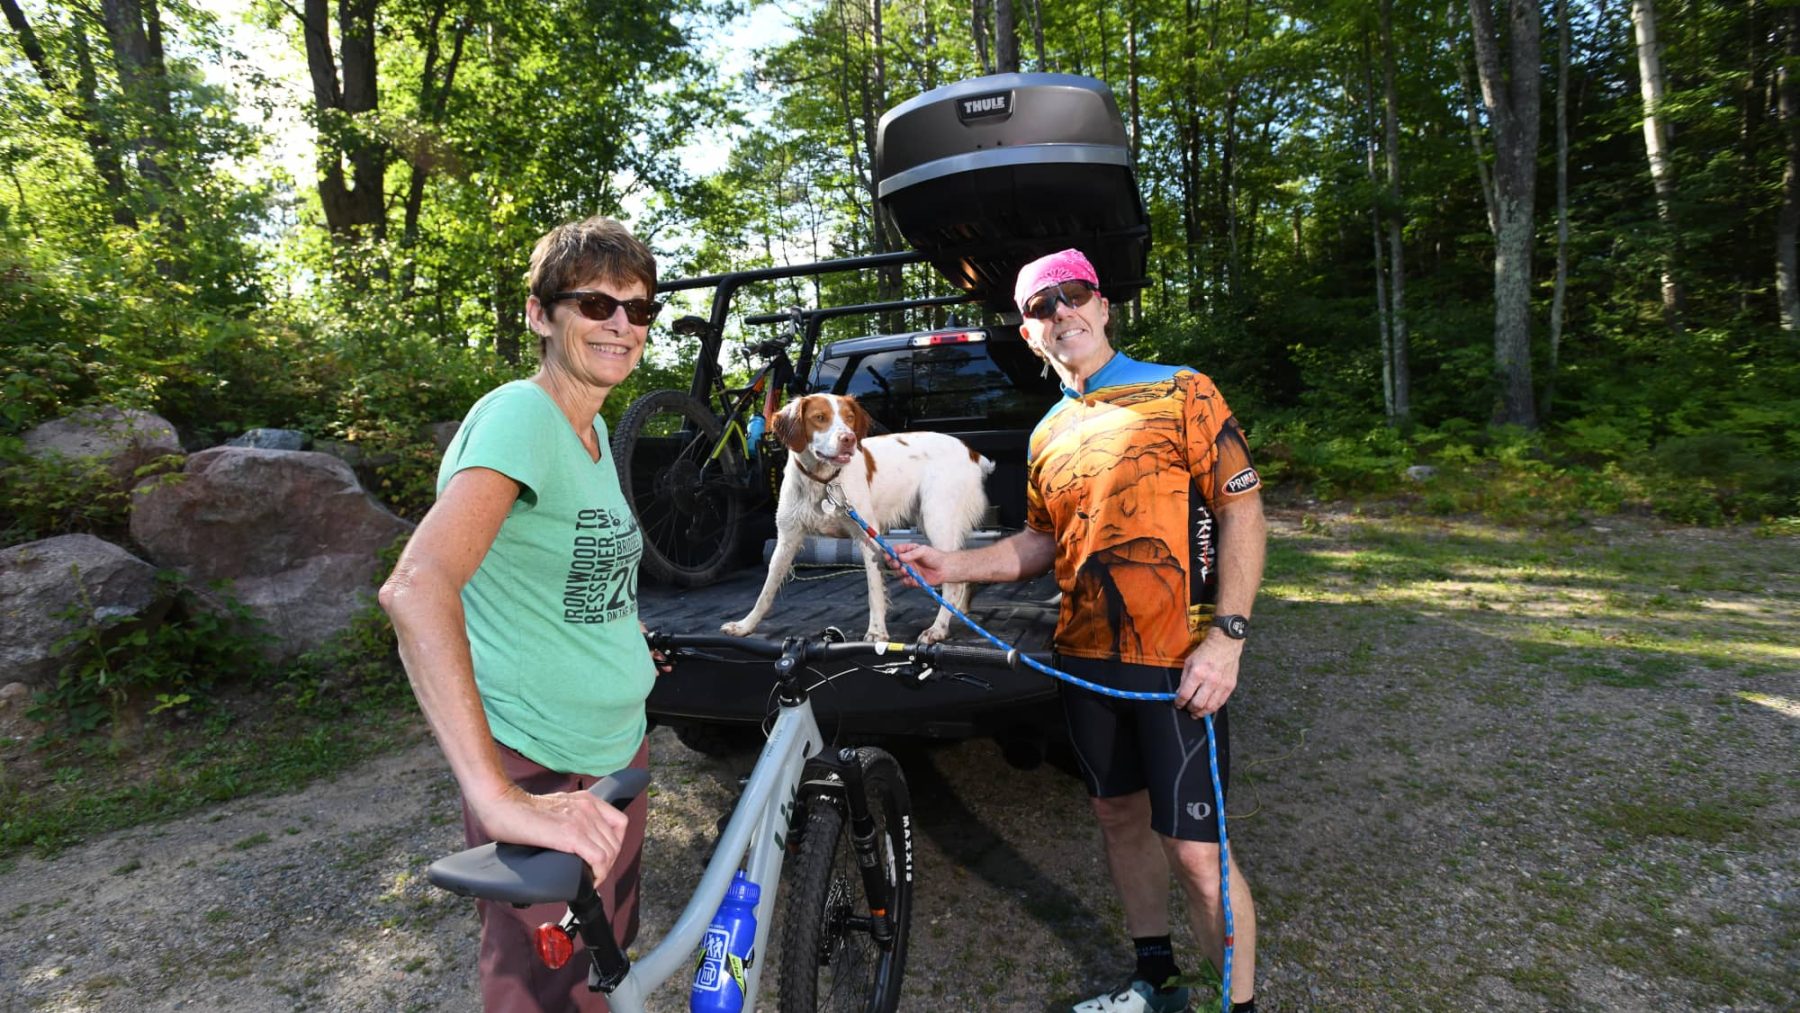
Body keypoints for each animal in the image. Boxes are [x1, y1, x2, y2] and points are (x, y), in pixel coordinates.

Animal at [720, 394, 1000, 640]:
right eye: (819, 417)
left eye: (850, 417)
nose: (849, 438)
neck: (824, 482)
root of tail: (972, 453)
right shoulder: (787, 539)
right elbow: (766, 591)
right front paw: (745, 626)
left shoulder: (868, 537)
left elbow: (874, 591)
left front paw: (877, 632)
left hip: (937, 519)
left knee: (952, 583)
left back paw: (938, 629)